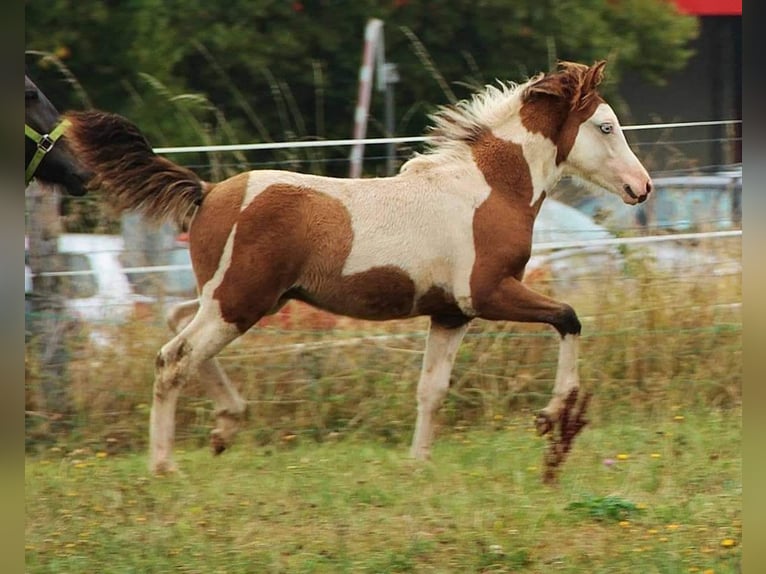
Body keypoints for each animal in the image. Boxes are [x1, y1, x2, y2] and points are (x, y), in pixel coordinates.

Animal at [67, 60, 656, 480]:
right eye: (606, 126)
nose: (642, 186)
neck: (488, 188)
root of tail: (209, 192)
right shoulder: (487, 293)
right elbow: (568, 317)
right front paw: (556, 416)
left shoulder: (450, 314)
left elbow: (431, 389)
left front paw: (418, 464)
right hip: (239, 300)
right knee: (174, 358)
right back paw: (165, 464)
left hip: (237, 295)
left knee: (176, 323)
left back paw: (224, 427)